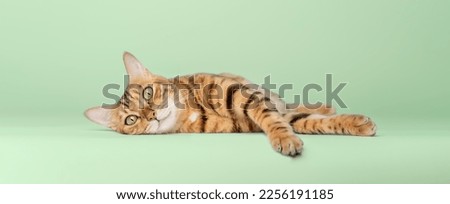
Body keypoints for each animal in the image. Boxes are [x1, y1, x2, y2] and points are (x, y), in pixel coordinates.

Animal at [84, 52, 376, 156]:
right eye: (131, 120)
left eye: (147, 93)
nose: (152, 115)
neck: (189, 111)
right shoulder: (254, 119)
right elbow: (307, 123)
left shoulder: (243, 95)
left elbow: (275, 119)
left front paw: (284, 138)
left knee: (290, 103)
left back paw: (325, 104)